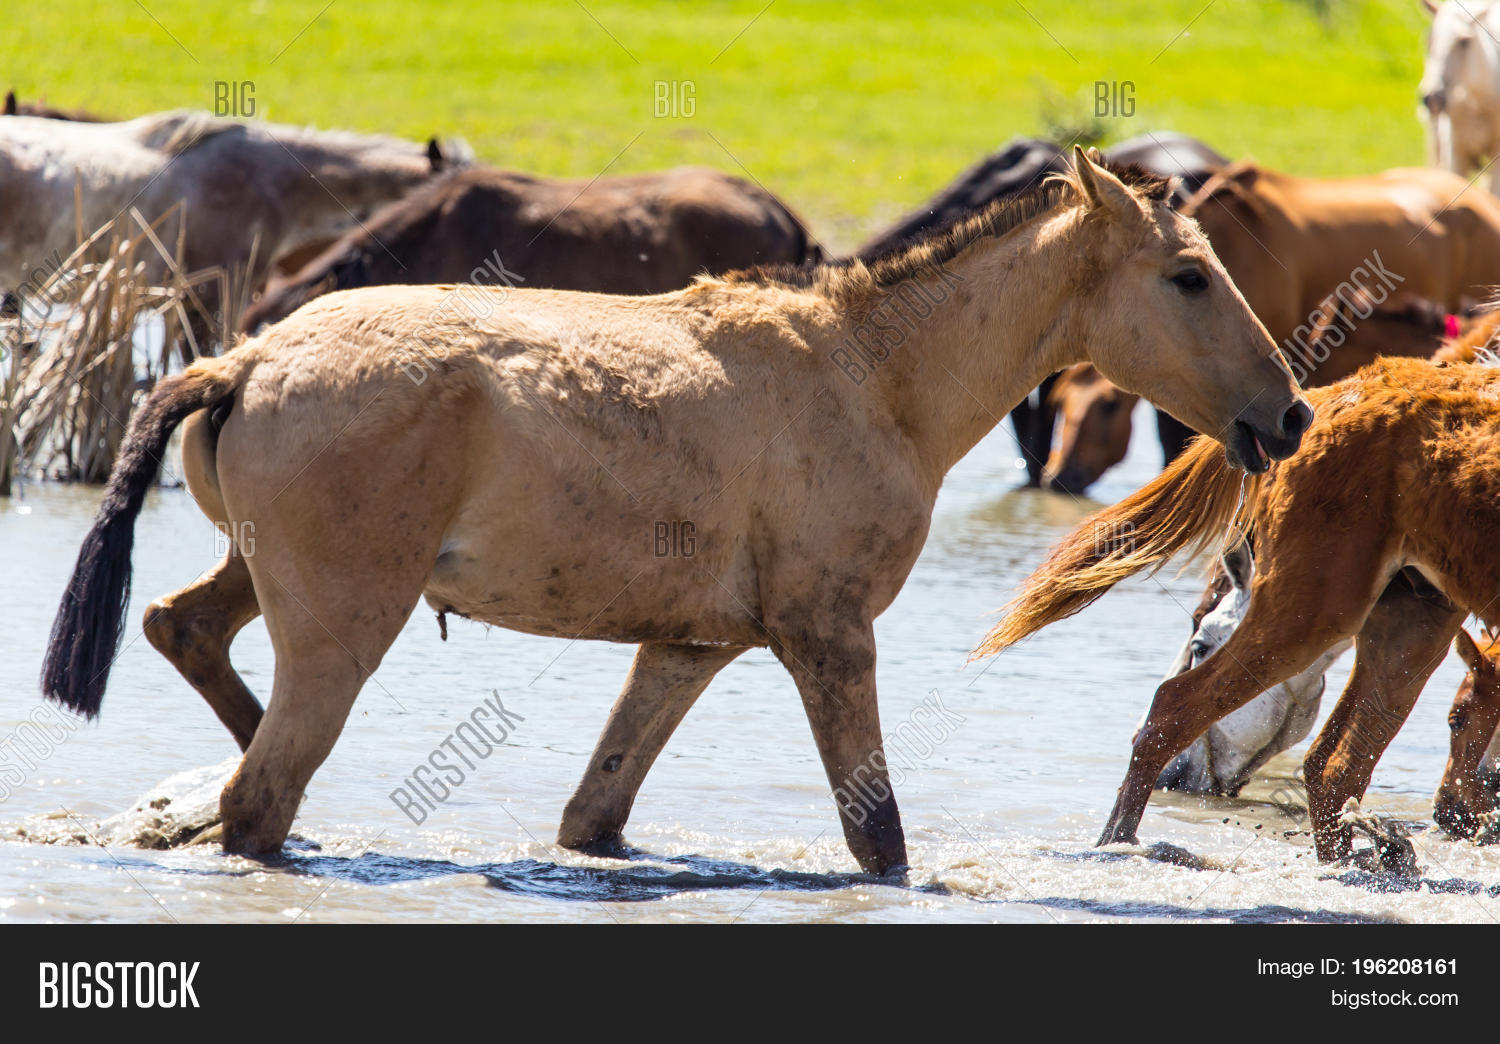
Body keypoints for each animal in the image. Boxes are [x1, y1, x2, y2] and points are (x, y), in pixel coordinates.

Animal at [979, 357, 1500, 861]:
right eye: (1453, 720)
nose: (1450, 815)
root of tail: (1327, 396)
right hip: (1317, 606)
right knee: (1178, 707)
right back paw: (1120, 842)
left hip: (1413, 617)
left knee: (1335, 765)